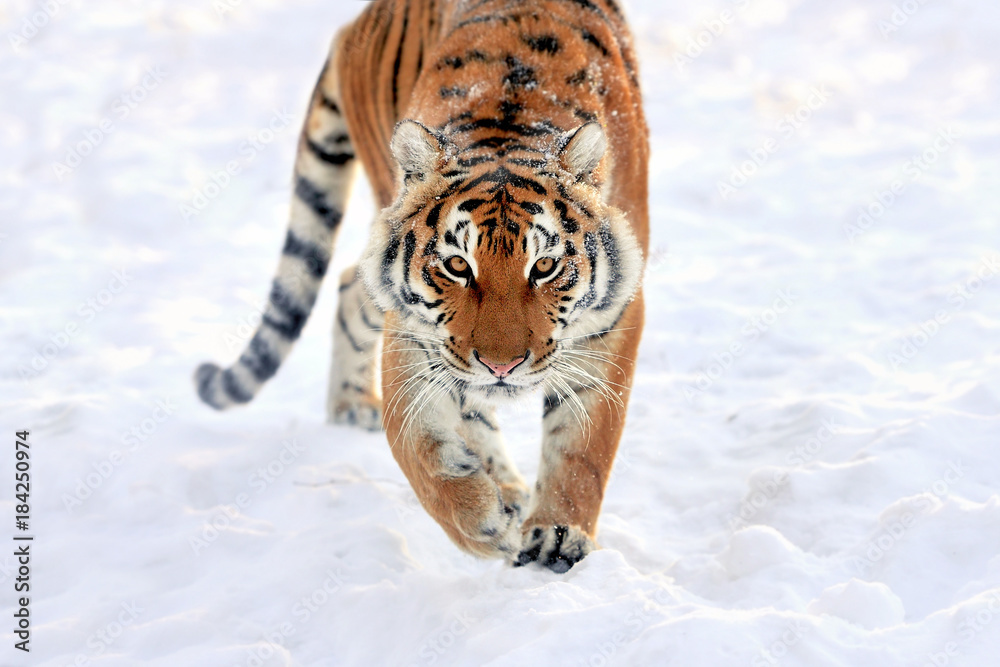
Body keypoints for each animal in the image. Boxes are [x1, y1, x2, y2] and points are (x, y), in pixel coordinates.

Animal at [194, 0, 648, 576]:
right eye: (457, 265)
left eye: (544, 267)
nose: (501, 366)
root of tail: (360, 19)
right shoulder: (413, 330)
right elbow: (416, 445)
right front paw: (482, 523)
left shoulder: (614, 317)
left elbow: (583, 444)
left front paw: (556, 536)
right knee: (354, 288)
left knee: (349, 284)